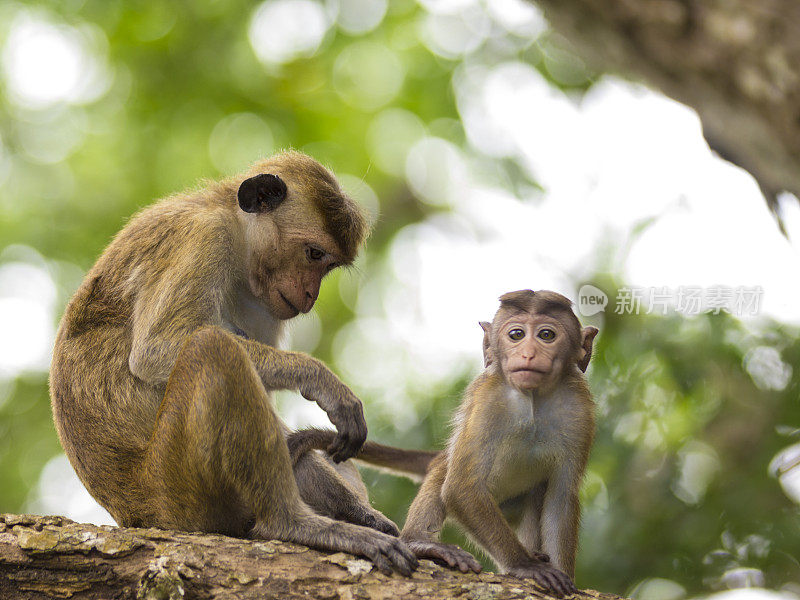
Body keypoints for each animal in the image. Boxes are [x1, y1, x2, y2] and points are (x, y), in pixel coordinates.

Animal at [49, 152, 416, 576]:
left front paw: (360, 513)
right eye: (314, 254)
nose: (310, 295)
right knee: (213, 348)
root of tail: (133, 512)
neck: (234, 228)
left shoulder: (264, 304)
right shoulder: (205, 236)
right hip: (176, 489)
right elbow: (157, 349)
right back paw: (290, 524)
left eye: (327, 265)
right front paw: (320, 380)